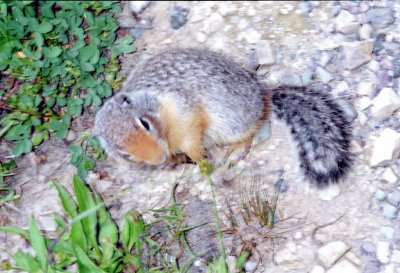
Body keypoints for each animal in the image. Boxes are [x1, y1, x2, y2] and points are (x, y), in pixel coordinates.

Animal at [92, 47, 352, 186]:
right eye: (124, 153)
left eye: (144, 123)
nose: (158, 158)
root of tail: (263, 94)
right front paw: (178, 160)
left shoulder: (184, 111)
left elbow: (192, 136)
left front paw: (202, 160)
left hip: (231, 120)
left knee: (249, 134)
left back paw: (234, 151)